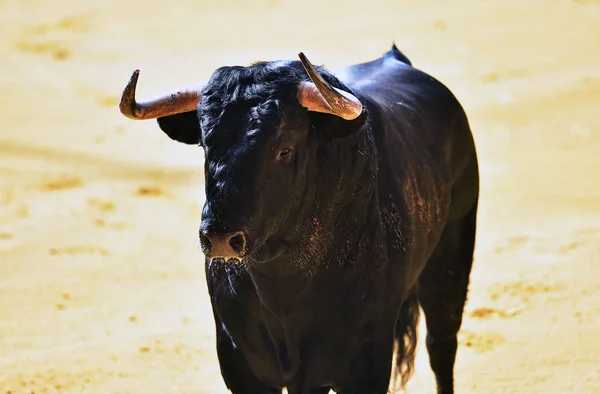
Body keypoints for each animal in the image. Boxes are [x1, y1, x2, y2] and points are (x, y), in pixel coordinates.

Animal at [119, 44, 480, 392]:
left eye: (284, 149)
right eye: (205, 145)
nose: (220, 238)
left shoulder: (367, 366)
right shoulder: (240, 365)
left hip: (451, 260)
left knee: (441, 345)